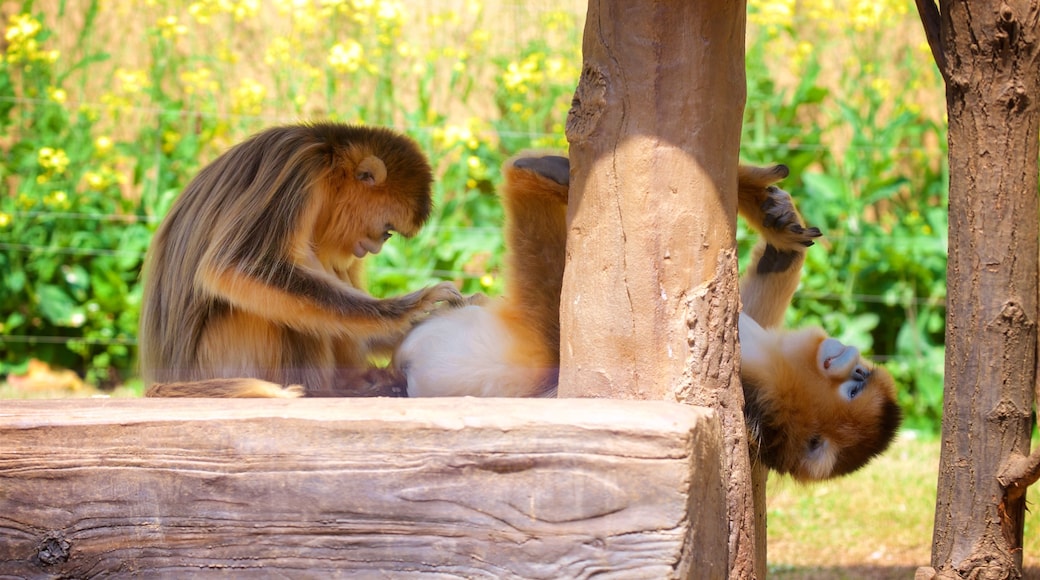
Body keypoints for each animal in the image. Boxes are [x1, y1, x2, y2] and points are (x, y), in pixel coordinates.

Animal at [138, 121, 459, 399]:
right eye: (388, 231)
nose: (378, 246)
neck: (328, 156)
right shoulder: (299, 171)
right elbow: (233, 267)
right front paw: (407, 309)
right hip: (222, 356)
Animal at [397, 153, 902, 482]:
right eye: (859, 379)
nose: (853, 359)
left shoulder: (758, 388)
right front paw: (777, 229)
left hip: (535, 328)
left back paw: (537, 171)